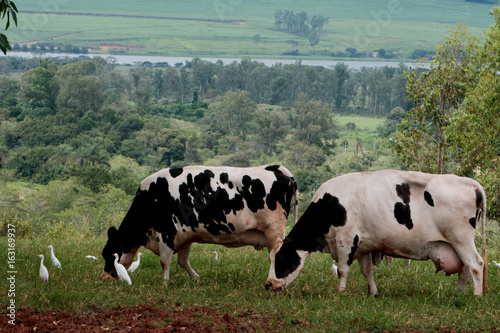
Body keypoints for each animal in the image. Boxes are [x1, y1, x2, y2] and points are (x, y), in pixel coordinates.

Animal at [101, 163, 296, 280]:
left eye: (109, 255)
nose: (104, 278)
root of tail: (278, 169)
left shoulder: (166, 232)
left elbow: (165, 261)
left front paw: (164, 283)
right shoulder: (185, 235)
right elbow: (182, 261)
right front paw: (196, 278)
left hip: (274, 230)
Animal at [266, 171, 488, 296]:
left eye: (282, 258)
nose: (268, 285)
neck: (330, 205)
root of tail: (471, 183)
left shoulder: (346, 240)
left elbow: (342, 270)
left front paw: (340, 292)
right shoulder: (365, 245)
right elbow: (367, 271)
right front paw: (373, 292)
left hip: (461, 239)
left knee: (475, 265)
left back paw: (476, 296)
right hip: (456, 245)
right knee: (465, 268)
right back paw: (459, 294)